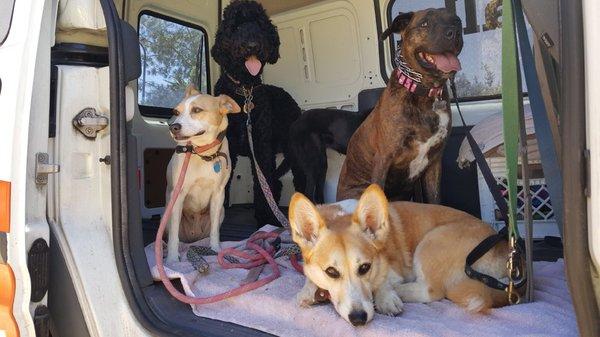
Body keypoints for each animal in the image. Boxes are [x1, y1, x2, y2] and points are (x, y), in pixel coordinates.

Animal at [165, 84, 240, 262]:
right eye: (176, 112)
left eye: (197, 110)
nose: (173, 127)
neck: (202, 153)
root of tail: (194, 236)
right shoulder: (178, 194)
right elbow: (173, 236)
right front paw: (172, 259)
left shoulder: (218, 195)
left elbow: (214, 231)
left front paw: (215, 249)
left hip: (221, 212)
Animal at [288, 182, 508, 324]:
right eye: (331, 272)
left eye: (365, 268)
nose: (358, 319)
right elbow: (310, 277)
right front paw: (307, 291)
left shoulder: (392, 270)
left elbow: (382, 281)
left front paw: (386, 297)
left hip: (430, 242)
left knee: (432, 291)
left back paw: (398, 292)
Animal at [338, 8, 464, 202]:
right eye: (425, 23)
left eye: (457, 20)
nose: (454, 31)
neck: (424, 92)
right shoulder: (383, 160)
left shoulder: (434, 162)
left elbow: (435, 200)